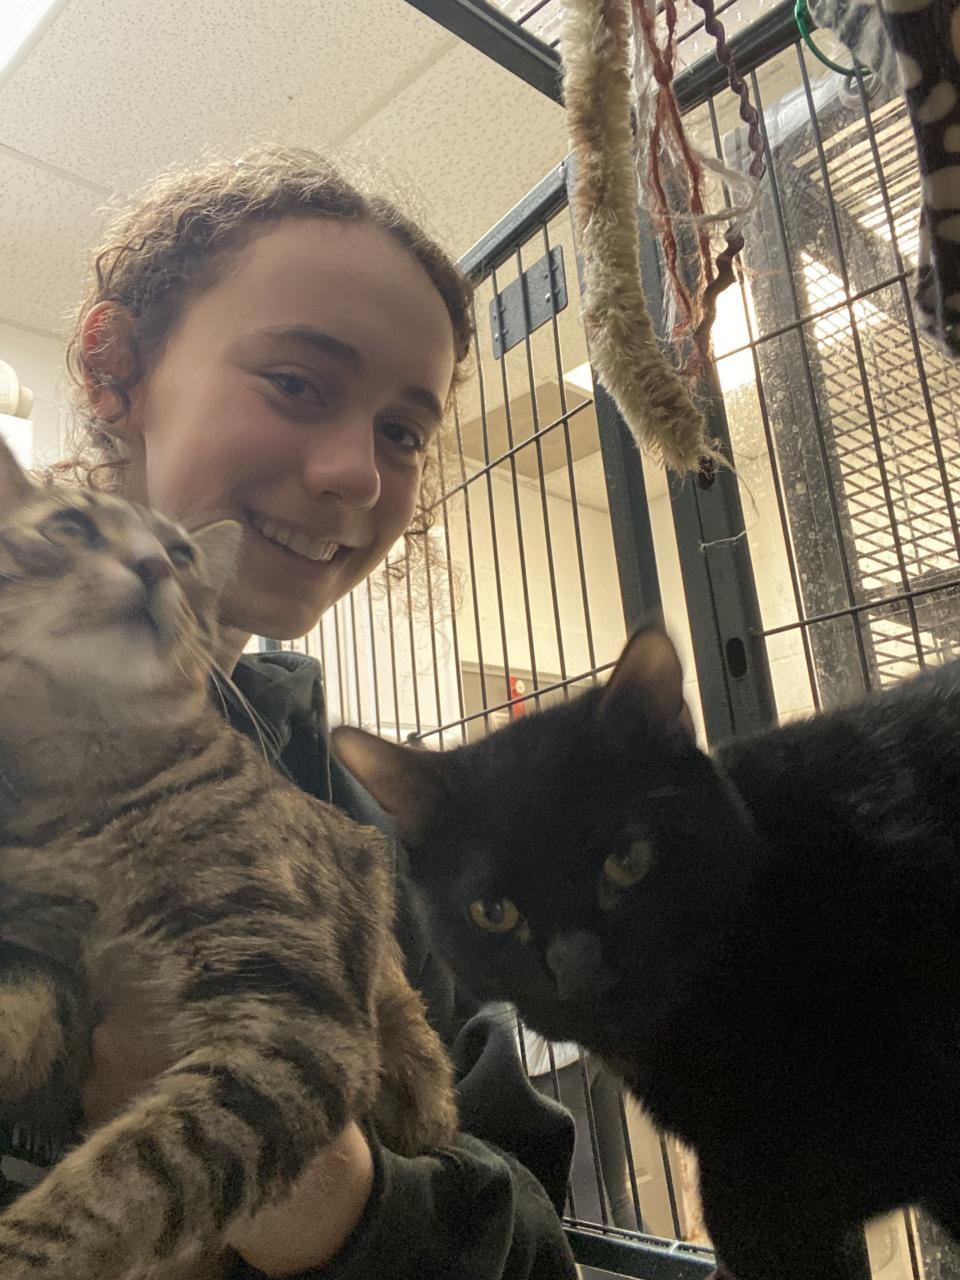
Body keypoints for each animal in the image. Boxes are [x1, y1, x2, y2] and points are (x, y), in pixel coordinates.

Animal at [0, 434, 456, 1280]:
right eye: (71, 527)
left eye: (181, 555)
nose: (152, 564)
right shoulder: (42, 954)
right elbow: (21, 1011)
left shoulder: (290, 1016)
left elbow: (124, 1178)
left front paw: (28, 1247)